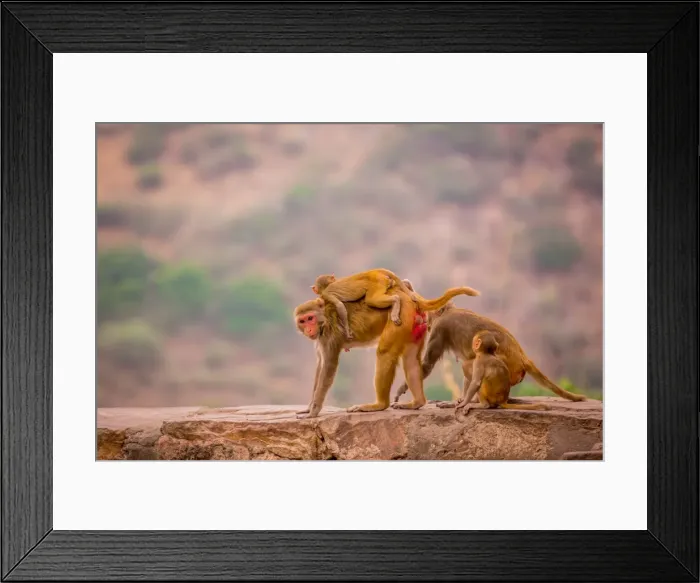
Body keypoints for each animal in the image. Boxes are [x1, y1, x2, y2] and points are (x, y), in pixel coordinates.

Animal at [293, 283, 481, 419]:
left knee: (384, 352)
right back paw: (417, 402)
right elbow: (320, 366)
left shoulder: (330, 336)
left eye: (310, 318)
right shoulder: (321, 340)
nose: (309, 329)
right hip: (413, 325)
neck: (324, 318)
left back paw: (379, 405)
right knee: (411, 359)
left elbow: (328, 367)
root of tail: (409, 298)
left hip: (401, 319)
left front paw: (313, 411)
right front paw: (309, 408)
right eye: (302, 321)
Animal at [393, 300, 587, 407]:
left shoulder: (439, 330)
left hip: (508, 370)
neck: (448, 311)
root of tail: (524, 358)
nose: (426, 322)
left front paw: (402, 391)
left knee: (477, 362)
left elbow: (426, 366)